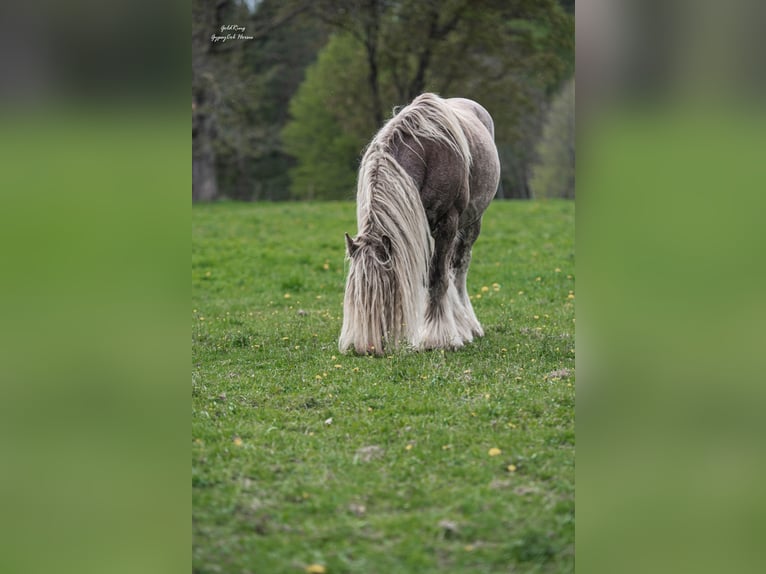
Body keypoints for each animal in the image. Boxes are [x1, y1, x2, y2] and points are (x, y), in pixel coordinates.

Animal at [339, 92, 500, 355]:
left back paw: (468, 326)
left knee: (459, 269)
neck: (427, 156)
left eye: (384, 294)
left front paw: (438, 338)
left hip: (471, 224)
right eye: (353, 297)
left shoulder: (447, 224)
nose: (367, 348)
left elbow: (438, 278)